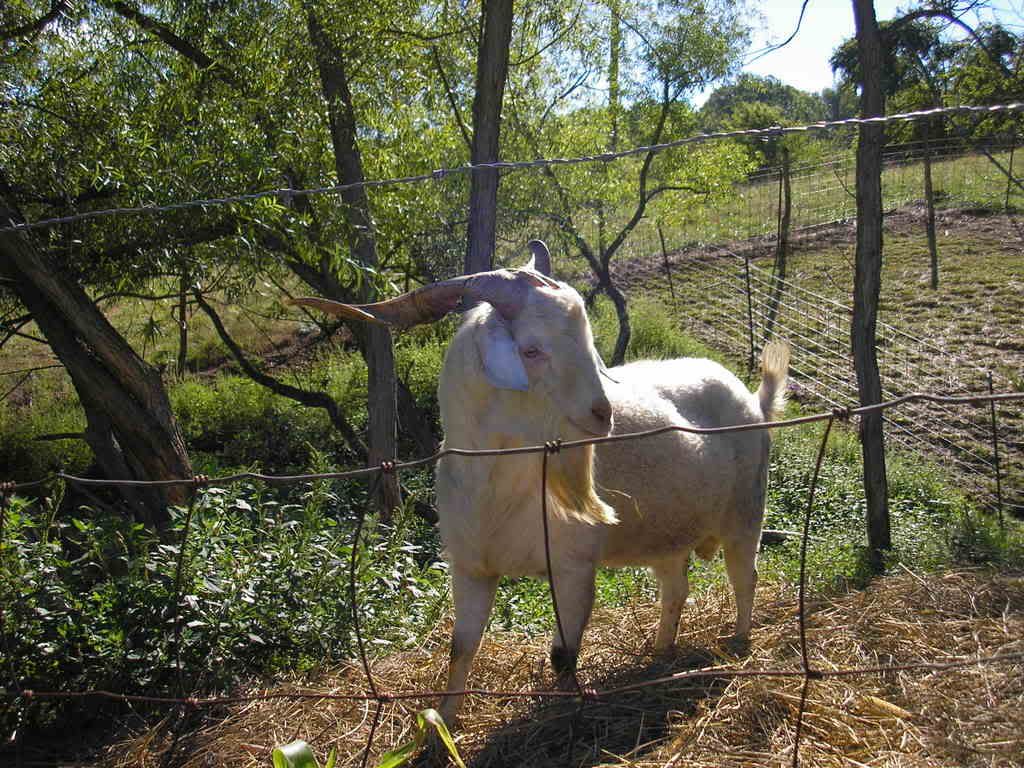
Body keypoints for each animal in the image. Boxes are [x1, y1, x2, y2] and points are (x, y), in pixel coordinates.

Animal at [291, 240, 789, 725]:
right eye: (532, 350)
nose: (603, 414)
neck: (498, 488)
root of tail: (750, 397)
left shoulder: (572, 567)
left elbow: (563, 655)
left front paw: (563, 713)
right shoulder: (471, 568)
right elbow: (460, 649)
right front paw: (442, 727)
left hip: (746, 514)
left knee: (744, 577)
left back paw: (738, 643)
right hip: (666, 533)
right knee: (676, 588)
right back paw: (660, 651)